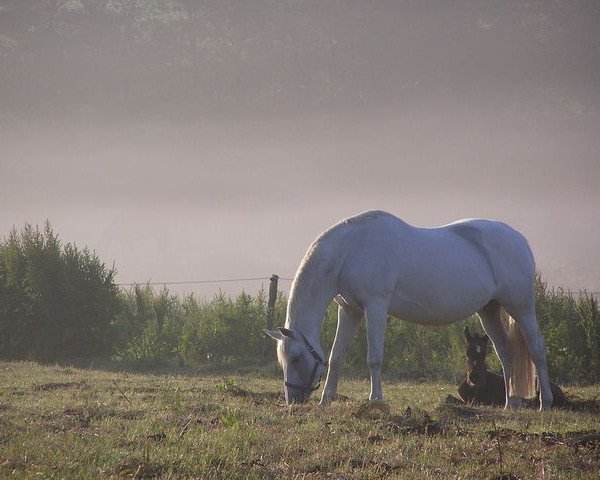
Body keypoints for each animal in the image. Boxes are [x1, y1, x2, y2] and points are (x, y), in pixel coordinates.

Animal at [266, 212, 552, 410]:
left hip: (521, 307)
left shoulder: (376, 307)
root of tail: (519, 238)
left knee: (537, 350)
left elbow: (374, 358)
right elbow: (336, 356)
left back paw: (544, 403)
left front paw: (375, 400)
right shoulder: (349, 311)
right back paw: (510, 403)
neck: (351, 250)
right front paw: (326, 400)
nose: (292, 399)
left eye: (296, 358)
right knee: (505, 353)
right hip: (489, 311)